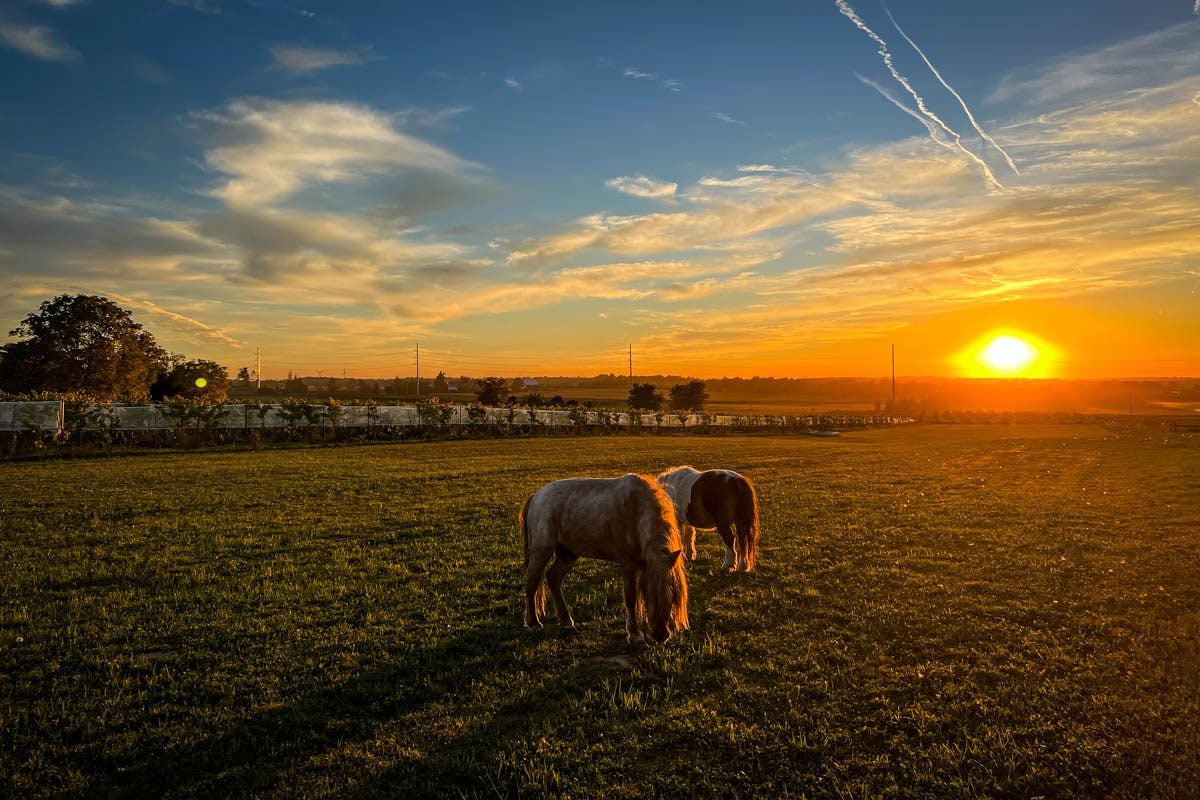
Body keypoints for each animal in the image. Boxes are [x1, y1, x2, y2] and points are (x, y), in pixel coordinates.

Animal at [520, 474, 691, 642]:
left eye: (673, 593)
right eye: (648, 594)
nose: (661, 635)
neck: (636, 510)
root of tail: (537, 495)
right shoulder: (628, 563)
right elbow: (631, 597)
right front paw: (635, 634)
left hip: (567, 554)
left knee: (553, 578)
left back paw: (566, 621)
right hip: (542, 551)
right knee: (532, 581)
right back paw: (533, 622)